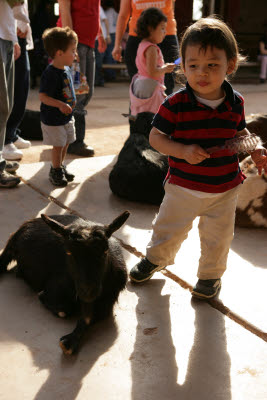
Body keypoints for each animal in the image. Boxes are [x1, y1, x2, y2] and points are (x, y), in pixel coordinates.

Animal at [0, 211, 130, 354]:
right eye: (68, 252)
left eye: (105, 251)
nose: (88, 292)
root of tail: (19, 231)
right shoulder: (55, 288)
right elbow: (64, 310)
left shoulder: (107, 302)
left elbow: (89, 317)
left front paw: (69, 342)